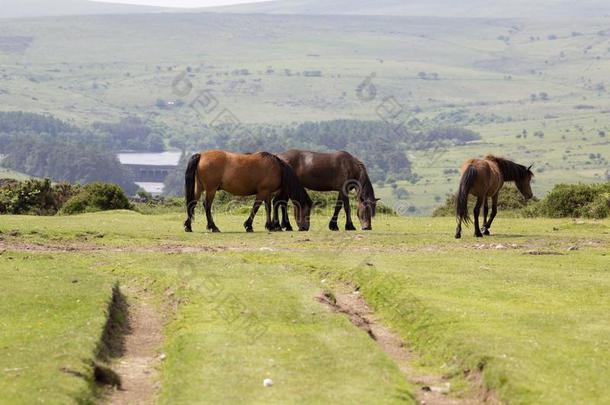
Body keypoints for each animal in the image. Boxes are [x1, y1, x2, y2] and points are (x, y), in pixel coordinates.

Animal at [183, 151, 312, 234]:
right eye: (306, 212)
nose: (305, 228)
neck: (277, 168)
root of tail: (201, 155)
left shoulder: (268, 193)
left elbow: (268, 208)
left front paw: (270, 226)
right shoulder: (262, 192)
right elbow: (256, 207)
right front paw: (248, 226)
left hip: (199, 187)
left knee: (192, 203)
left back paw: (188, 226)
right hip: (211, 189)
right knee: (207, 206)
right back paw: (213, 227)